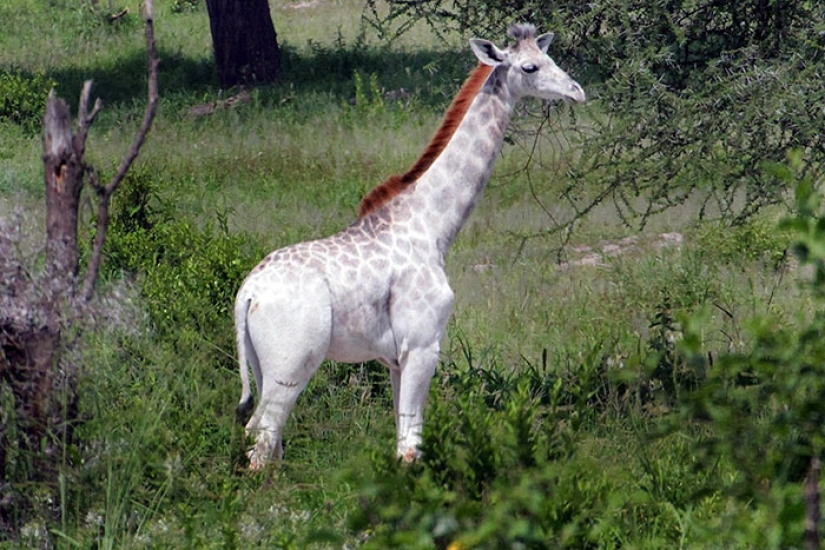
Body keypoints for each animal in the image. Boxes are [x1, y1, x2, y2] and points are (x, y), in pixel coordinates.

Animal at [233, 22, 584, 470]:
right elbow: (411, 446)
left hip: (262, 367)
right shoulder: (422, 344)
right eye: (530, 67)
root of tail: (247, 293)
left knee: (266, 441)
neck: (432, 227)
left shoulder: (394, 358)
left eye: (550, 57)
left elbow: (402, 438)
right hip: (292, 363)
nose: (577, 91)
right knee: (261, 435)